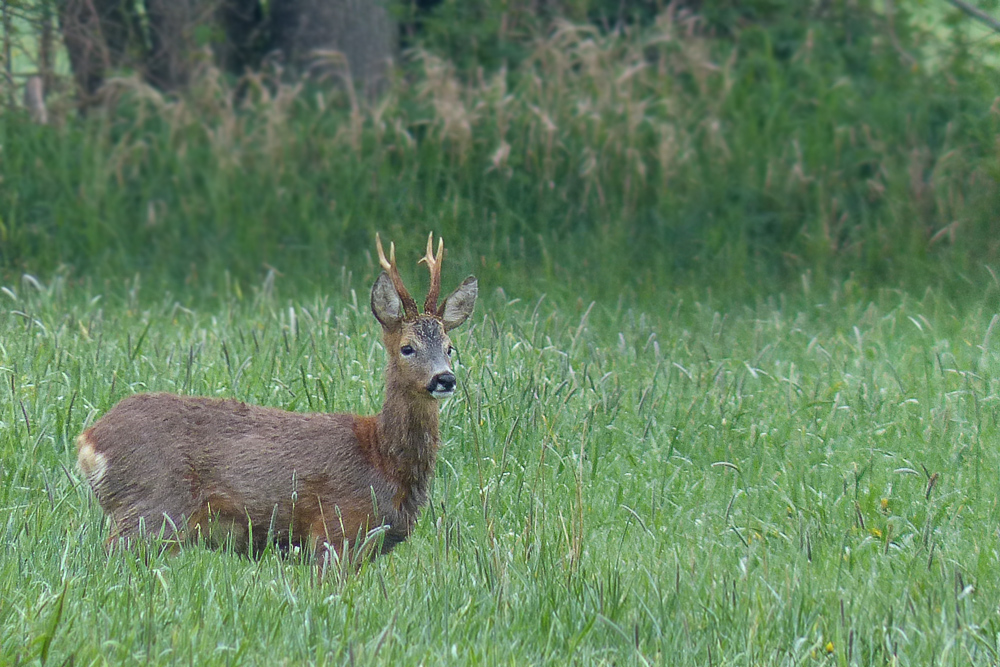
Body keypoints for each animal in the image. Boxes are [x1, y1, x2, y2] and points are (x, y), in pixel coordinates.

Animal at [78, 235, 476, 568]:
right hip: (152, 508)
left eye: (449, 347)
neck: (382, 458)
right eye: (408, 347)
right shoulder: (335, 529)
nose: (444, 379)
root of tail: (90, 440)